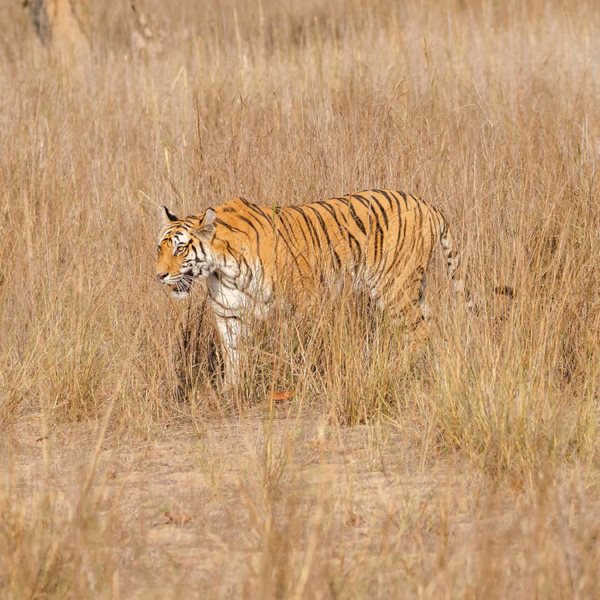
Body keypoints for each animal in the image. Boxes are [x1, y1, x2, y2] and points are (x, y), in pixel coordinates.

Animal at [158, 189, 474, 390]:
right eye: (159, 248)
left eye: (180, 248)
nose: (159, 275)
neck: (220, 268)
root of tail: (427, 204)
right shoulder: (228, 313)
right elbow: (233, 354)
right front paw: (229, 390)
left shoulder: (302, 302)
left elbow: (302, 346)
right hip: (412, 288)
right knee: (431, 323)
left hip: (394, 287)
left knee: (420, 328)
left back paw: (396, 370)